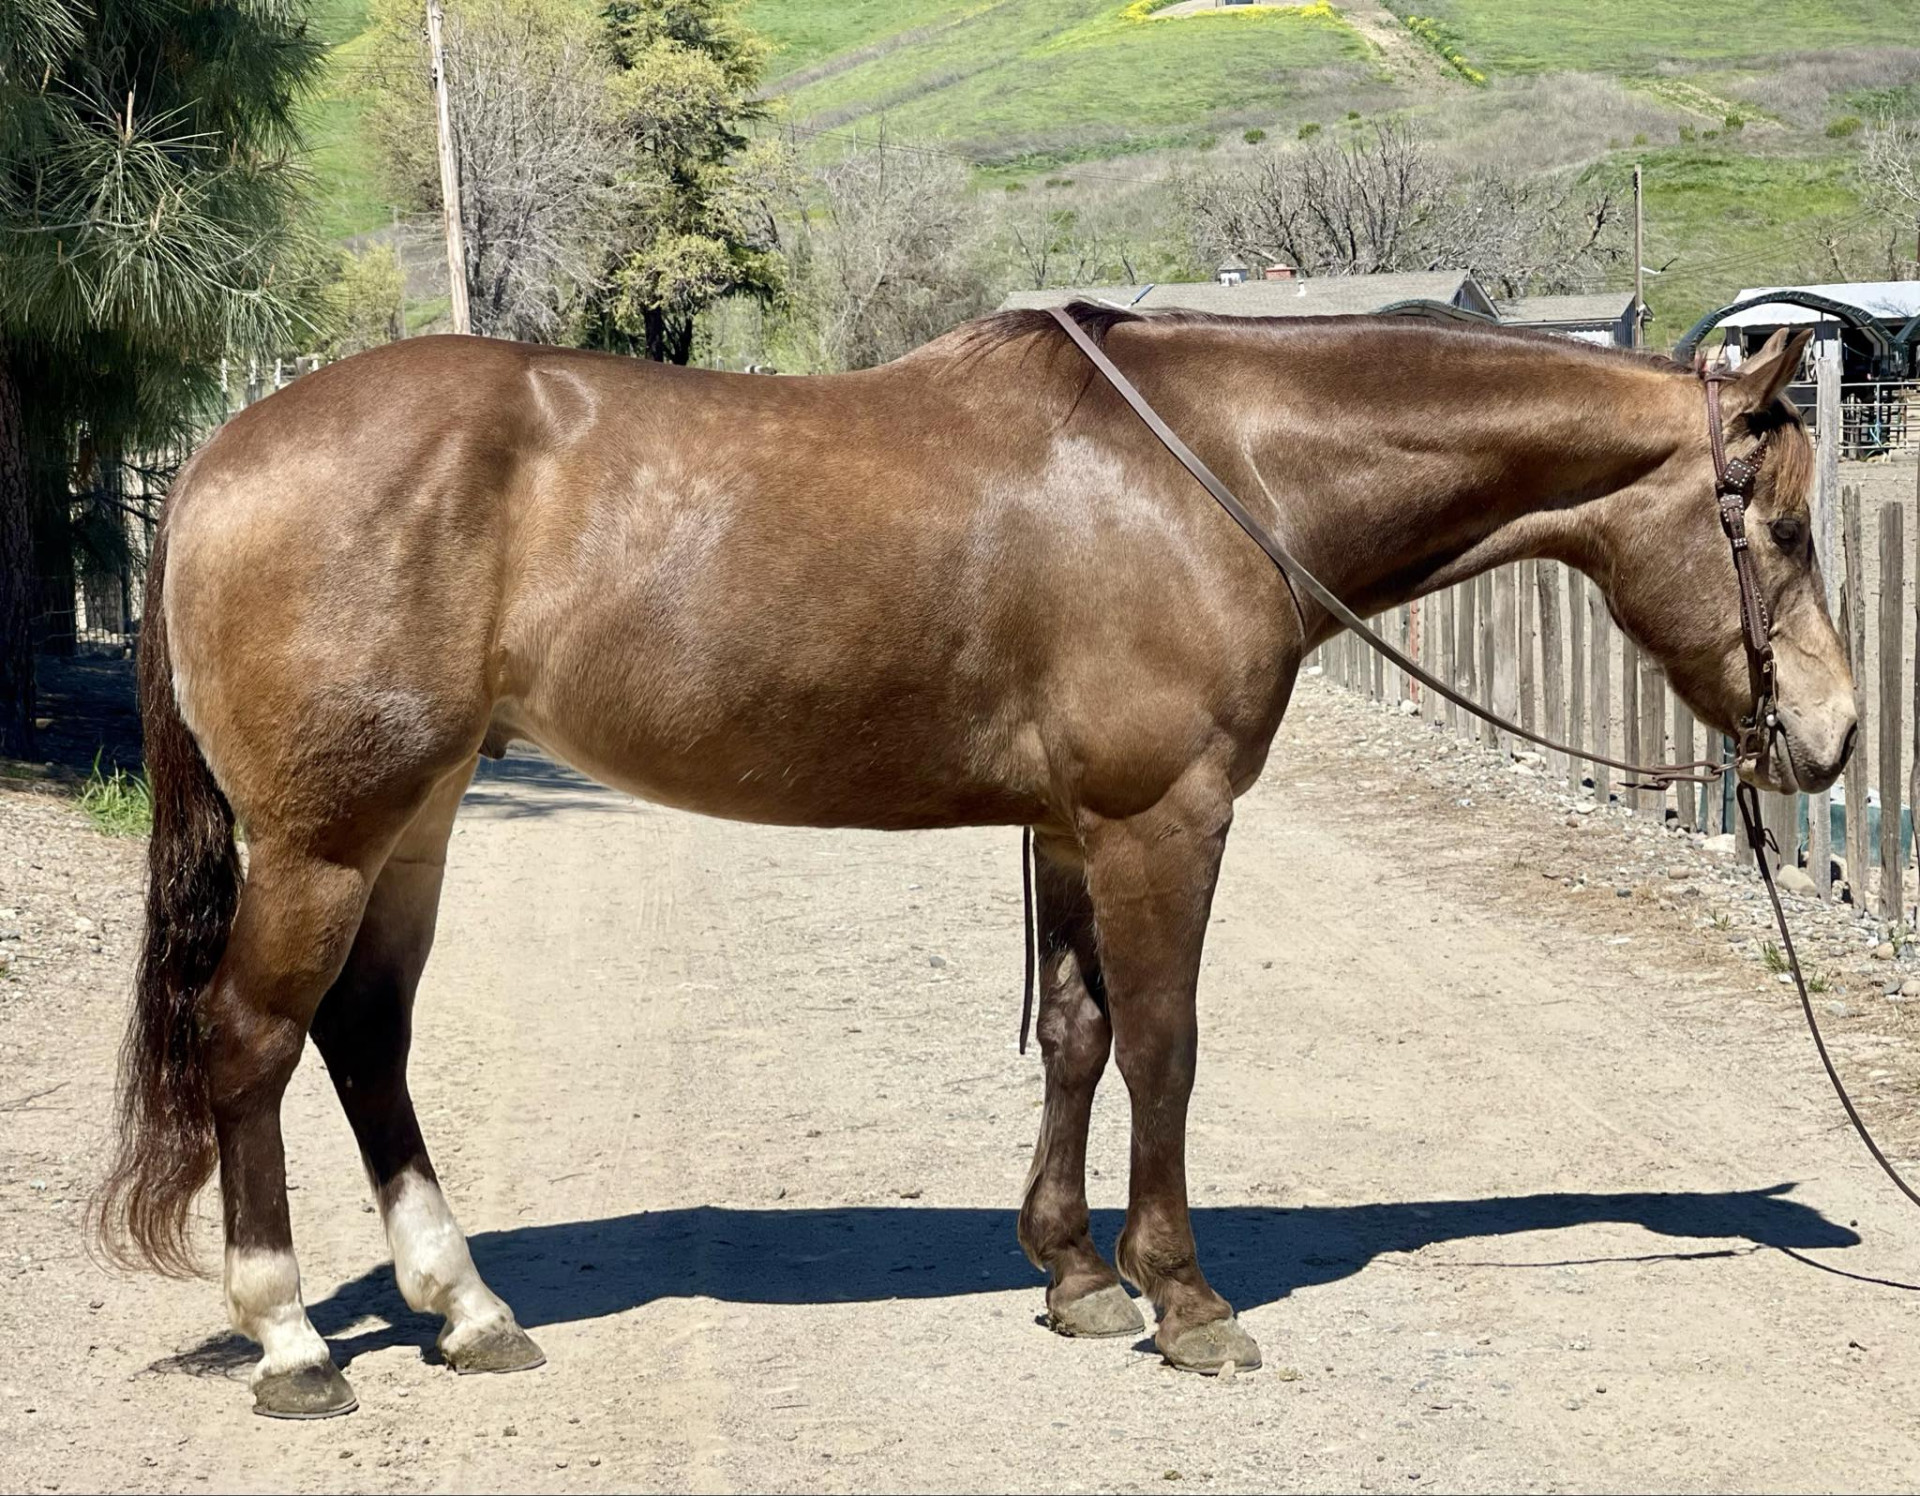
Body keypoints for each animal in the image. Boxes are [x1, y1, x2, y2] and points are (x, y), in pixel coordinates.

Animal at [101, 307, 1843, 1413]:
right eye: (1784, 525)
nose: (1826, 737)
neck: (1220, 471)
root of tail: (218, 456)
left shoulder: (1072, 825)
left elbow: (1075, 1035)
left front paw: (1074, 1277)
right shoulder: (1164, 818)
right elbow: (1163, 1045)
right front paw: (1185, 1299)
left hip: (414, 824)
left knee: (362, 1039)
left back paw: (467, 1313)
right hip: (326, 838)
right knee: (250, 1041)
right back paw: (291, 1341)